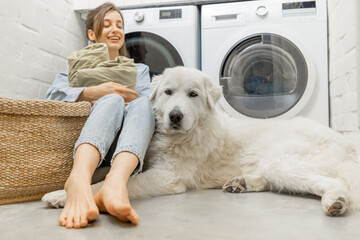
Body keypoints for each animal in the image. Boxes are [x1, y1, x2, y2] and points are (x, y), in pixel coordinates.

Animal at [43, 66, 360, 217]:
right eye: (168, 92)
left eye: (193, 94)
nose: (175, 115)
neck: (183, 135)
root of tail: (347, 144)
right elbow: (104, 174)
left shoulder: (167, 176)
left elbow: (115, 182)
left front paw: (62, 195)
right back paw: (240, 183)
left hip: (282, 161)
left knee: (334, 182)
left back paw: (336, 202)